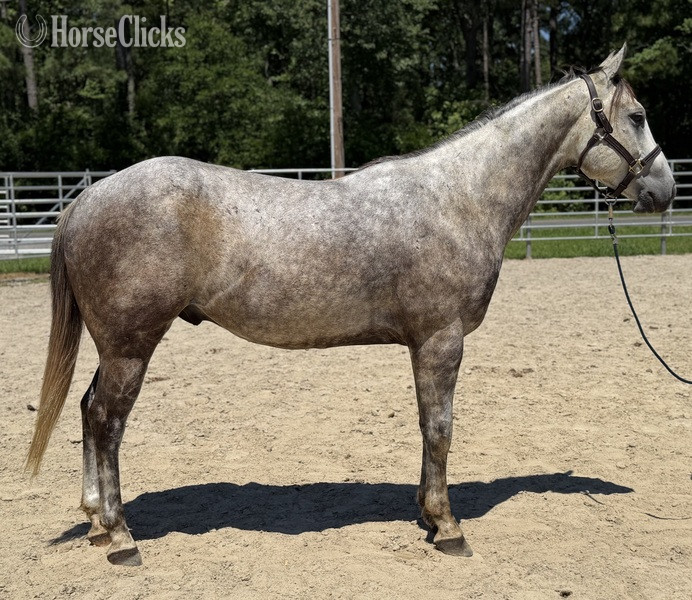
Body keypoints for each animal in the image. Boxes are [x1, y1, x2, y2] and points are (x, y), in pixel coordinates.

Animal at [26, 45, 676, 566]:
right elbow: (439, 427)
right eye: (638, 116)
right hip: (131, 347)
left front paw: (427, 514)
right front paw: (448, 527)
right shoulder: (441, 339)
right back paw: (120, 538)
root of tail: (86, 199)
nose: (664, 190)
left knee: (86, 412)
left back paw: (95, 522)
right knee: (105, 422)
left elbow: (427, 427)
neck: (459, 198)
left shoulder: (425, 343)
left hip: (115, 347)